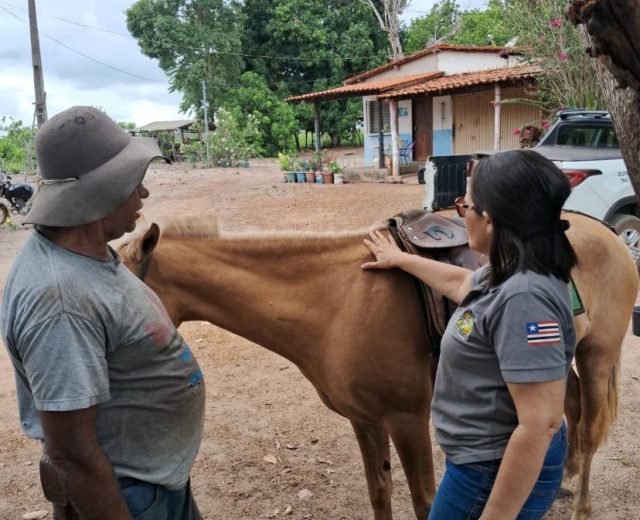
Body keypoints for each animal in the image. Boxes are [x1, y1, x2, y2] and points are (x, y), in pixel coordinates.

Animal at [117, 211, 638, 520]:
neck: (337, 302)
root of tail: (609, 233)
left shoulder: (407, 420)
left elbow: (424, 499)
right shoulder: (364, 420)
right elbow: (379, 490)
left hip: (596, 356)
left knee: (589, 429)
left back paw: (582, 506)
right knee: (569, 412)